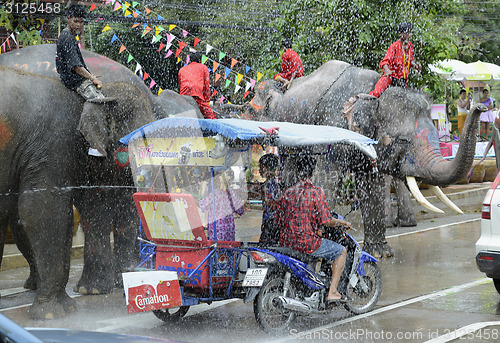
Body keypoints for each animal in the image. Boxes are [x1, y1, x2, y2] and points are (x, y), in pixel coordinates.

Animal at [241, 59, 484, 258]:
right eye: (404, 141)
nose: (481, 105)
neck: (374, 94)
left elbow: (372, 184)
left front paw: (380, 253)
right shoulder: (333, 128)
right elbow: (328, 179)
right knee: (291, 167)